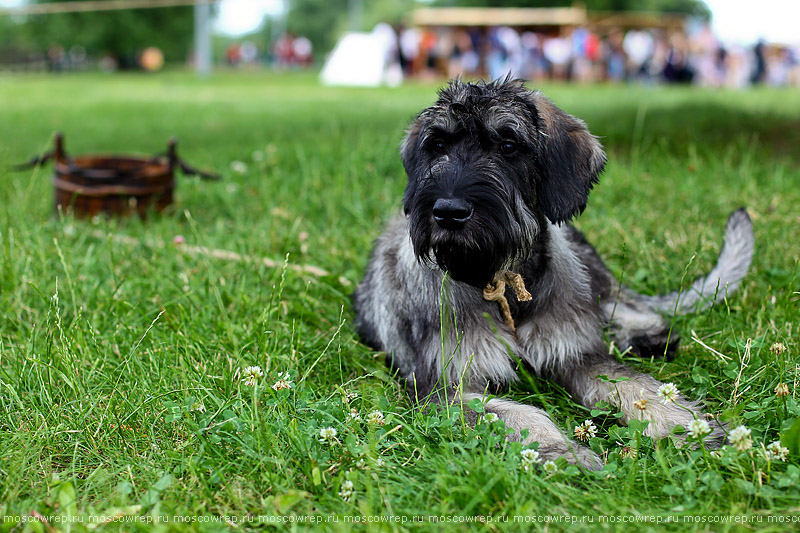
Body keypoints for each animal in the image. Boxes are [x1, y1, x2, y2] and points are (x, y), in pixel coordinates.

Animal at [354, 77, 752, 468]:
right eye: (437, 145)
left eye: (508, 145)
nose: (448, 212)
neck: (503, 284)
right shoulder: (449, 386)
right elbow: (518, 415)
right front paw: (564, 453)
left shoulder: (577, 354)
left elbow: (634, 385)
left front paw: (687, 427)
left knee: (617, 301)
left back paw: (644, 333)